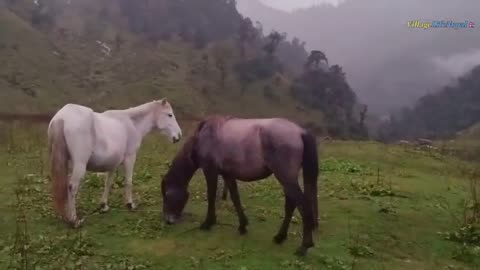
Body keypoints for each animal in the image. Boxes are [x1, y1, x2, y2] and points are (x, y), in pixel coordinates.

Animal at [47, 98, 182, 227]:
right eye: (169, 115)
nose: (179, 136)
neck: (132, 123)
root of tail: (62, 117)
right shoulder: (130, 158)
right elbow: (128, 181)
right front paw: (130, 204)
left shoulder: (112, 164)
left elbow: (108, 183)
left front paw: (104, 205)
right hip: (79, 165)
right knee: (72, 187)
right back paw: (74, 220)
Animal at [160, 115, 318, 255]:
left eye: (167, 196)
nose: (168, 220)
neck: (203, 136)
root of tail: (300, 131)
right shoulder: (228, 175)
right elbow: (235, 198)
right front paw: (242, 225)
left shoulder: (210, 171)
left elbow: (211, 196)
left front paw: (208, 223)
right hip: (287, 179)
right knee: (291, 205)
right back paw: (280, 237)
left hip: (286, 178)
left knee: (303, 206)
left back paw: (304, 246)